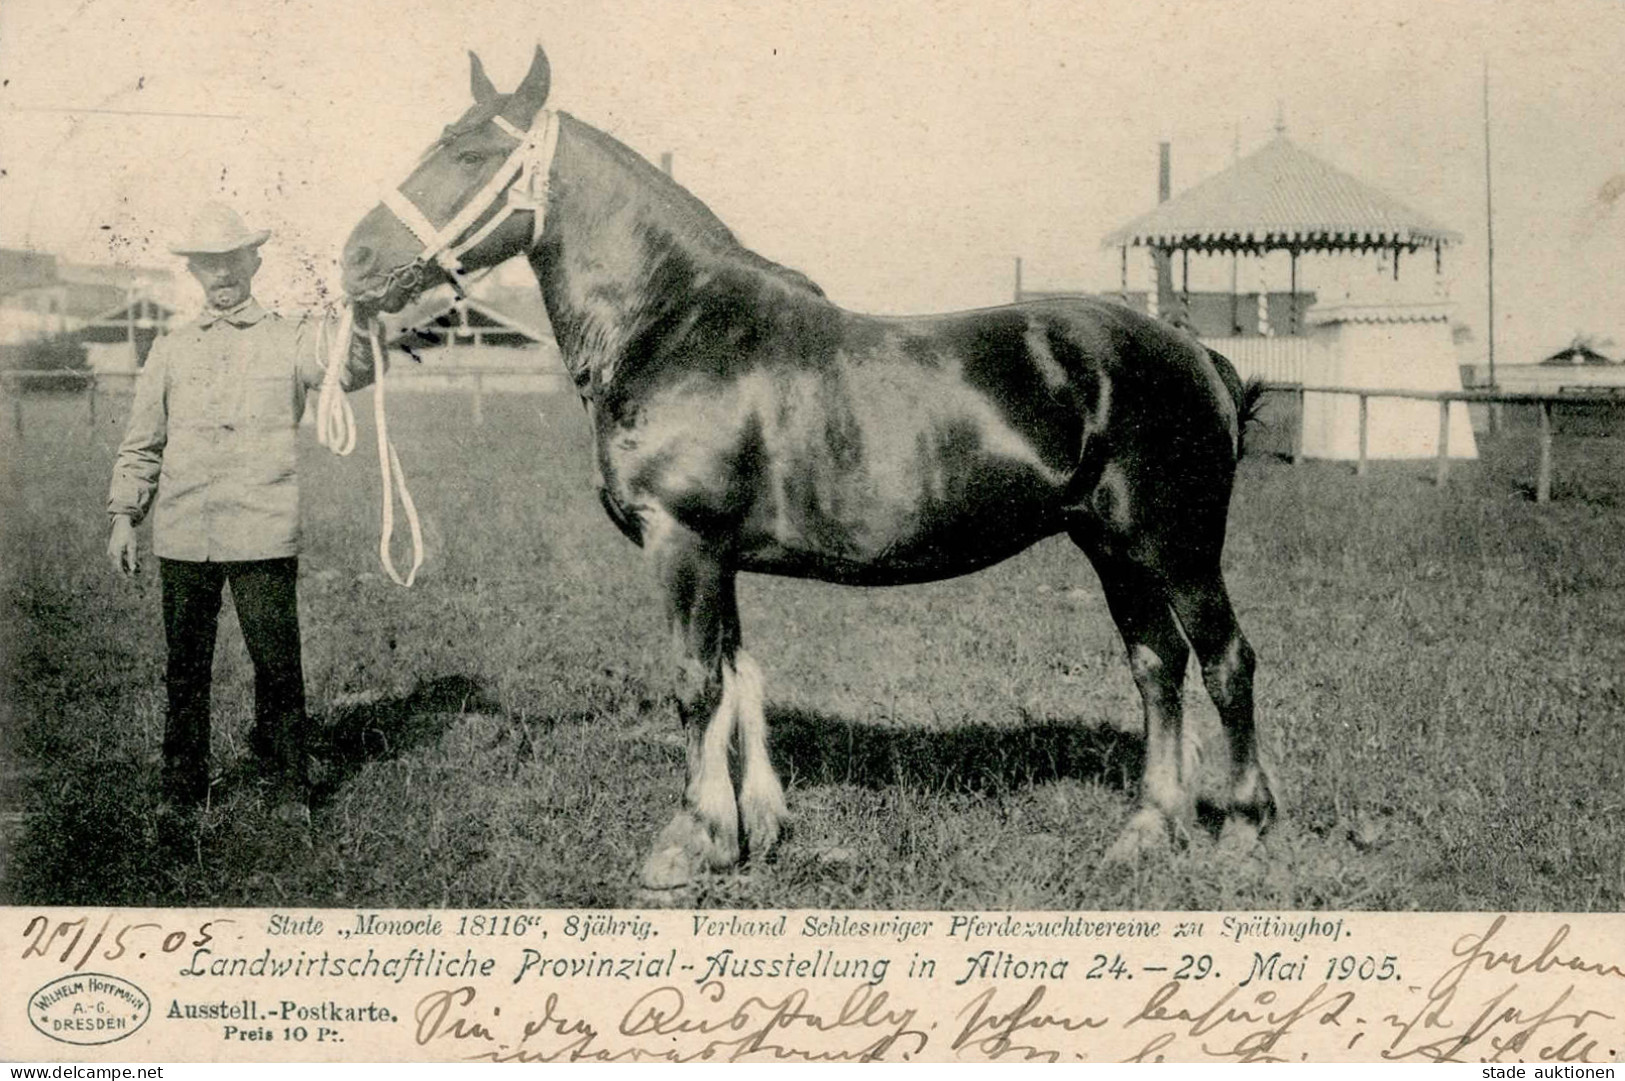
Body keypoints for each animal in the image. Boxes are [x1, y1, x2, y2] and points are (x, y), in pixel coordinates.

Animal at [342, 48, 1274, 884]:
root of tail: (1193, 350)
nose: (353, 259)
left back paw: (1241, 829)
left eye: (470, 153)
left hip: (1176, 547)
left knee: (1223, 660)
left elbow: (695, 682)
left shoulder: (682, 543)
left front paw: (687, 843)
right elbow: (736, 678)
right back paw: (1147, 830)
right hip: (1110, 546)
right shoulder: (719, 557)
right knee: (1156, 664)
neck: (674, 326)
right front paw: (748, 827)